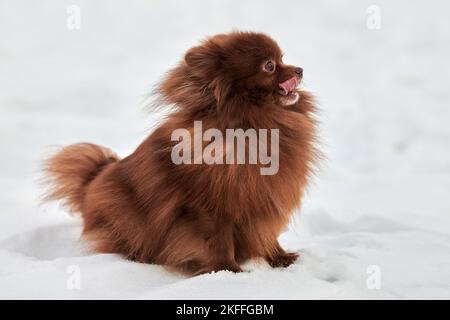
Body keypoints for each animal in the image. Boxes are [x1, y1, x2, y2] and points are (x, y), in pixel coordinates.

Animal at [42, 31, 316, 276]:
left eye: (282, 58)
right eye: (269, 65)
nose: (300, 70)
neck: (255, 124)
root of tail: (91, 184)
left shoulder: (262, 199)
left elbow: (265, 233)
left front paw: (281, 258)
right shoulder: (210, 209)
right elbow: (219, 241)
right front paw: (229, 271)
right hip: (123, 212)